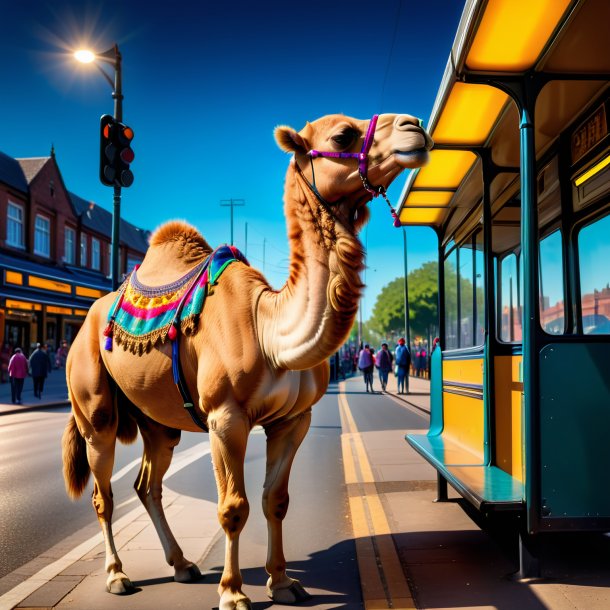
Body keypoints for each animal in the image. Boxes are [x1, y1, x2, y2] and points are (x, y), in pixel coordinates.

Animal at [61, 111, 430, 604]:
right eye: (342, 136)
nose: (415, 126)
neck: (268, 327)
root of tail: (86, 319)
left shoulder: (293, 420)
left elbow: (276, 500)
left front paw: (283, 582)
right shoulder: (225, 417)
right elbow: (233, 507)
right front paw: (234, 593)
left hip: (156, 420)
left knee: (148, 484)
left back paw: (183, 565)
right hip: (93, 405)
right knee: (104, 491)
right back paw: (117, 575)